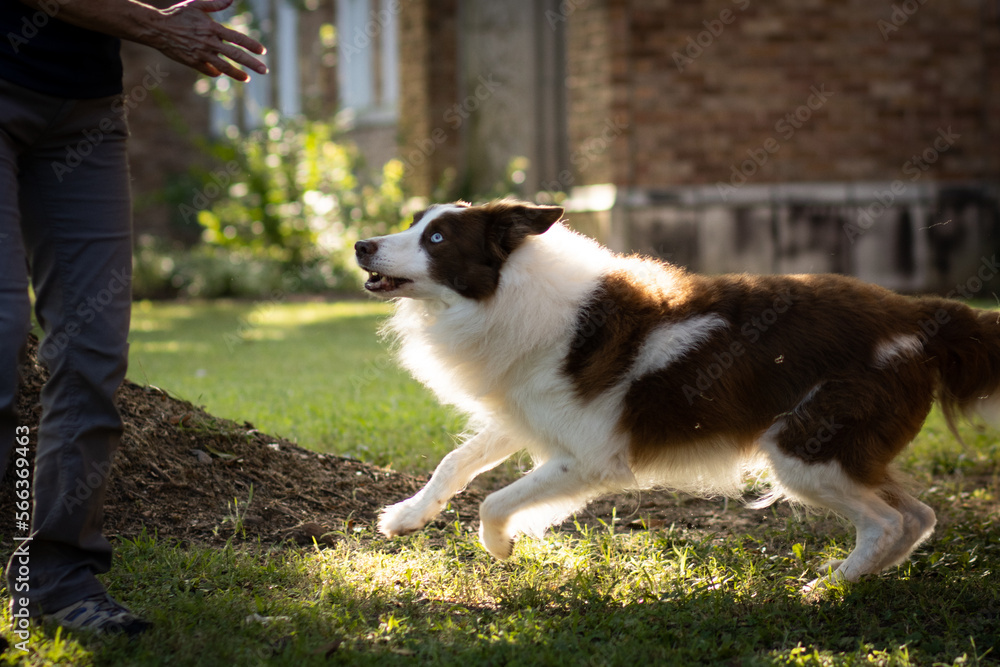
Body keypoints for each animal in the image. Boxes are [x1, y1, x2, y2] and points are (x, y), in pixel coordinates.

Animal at [356, 198, 996, 588]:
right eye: (414, 222)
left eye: (437, 237)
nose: (361, 245)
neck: (509, 288)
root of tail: (918, 314)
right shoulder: (525, 412)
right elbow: (454, 462)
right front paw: (406, 517)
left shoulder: (593, 458)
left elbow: (494, 500)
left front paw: (502, 546)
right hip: (842, 451)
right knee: (918, 515)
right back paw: (855, 582)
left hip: (805, 449)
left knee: (887, 522)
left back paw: (825, 589)